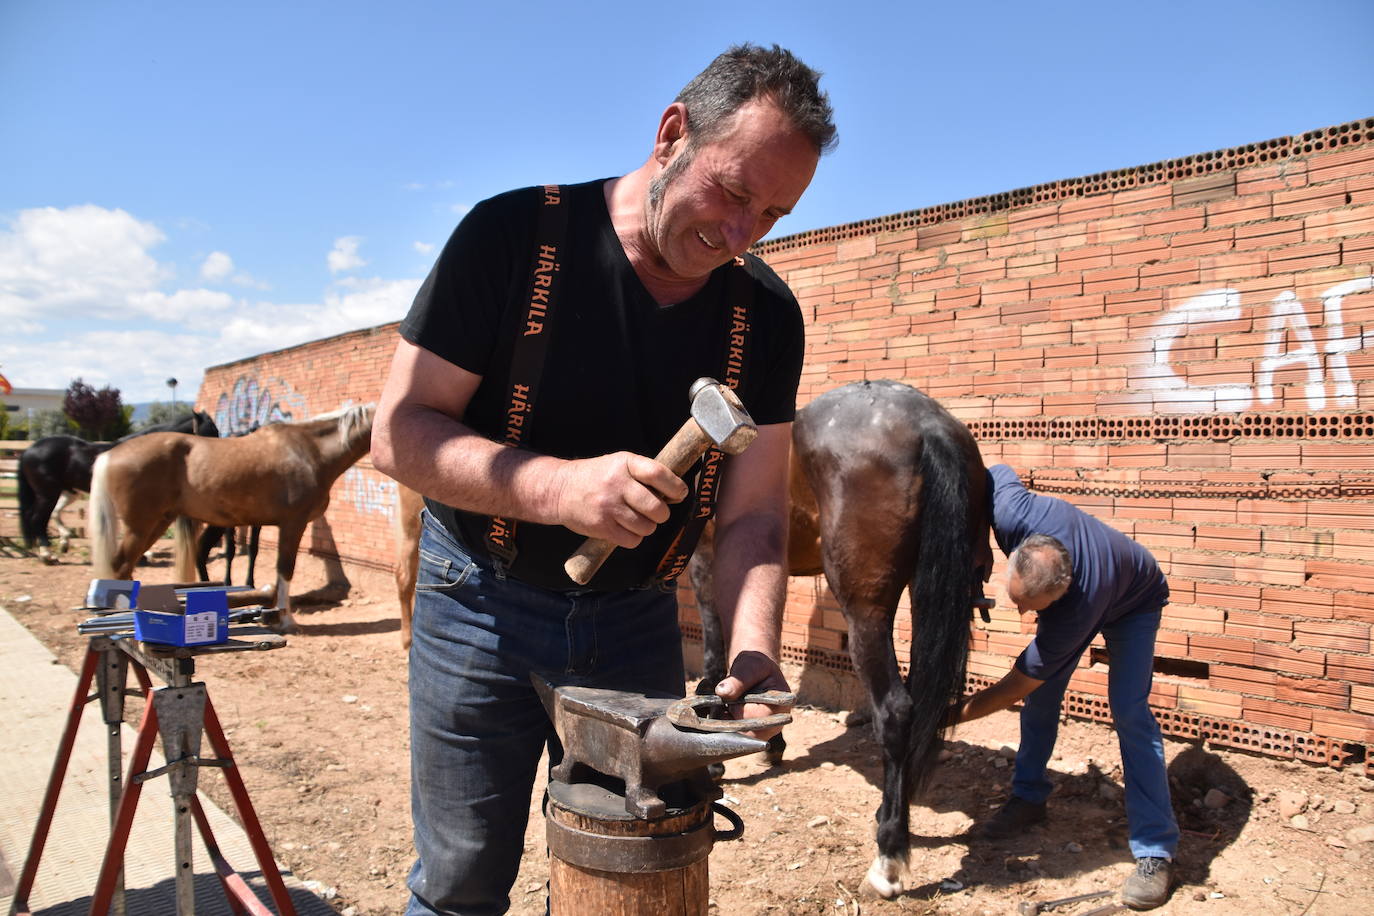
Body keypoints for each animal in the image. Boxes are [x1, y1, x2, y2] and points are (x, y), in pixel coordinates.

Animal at [17, 414, 219, 560]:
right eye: (209, 432)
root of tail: (28, 450)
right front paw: (145, 554)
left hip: (66, 492)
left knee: (52, 514)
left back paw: (61, 543)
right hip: (47, 494)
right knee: (37, 518)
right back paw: (47, 554)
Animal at [91, 406, 376, 631]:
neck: (309, 450)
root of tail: (110, 454)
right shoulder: (293, 525)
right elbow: (285, 570)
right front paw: (286, 621)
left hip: (157, 523)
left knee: (127, 567)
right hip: (141, 526)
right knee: (121, 566)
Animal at [692, 381, 994, 900]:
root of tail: (928, 423)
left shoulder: (707, 563)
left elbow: (714, 662)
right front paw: (772, 740)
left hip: (866, 611)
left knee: (896, 711)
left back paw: (888, 858)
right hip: (930, 591)